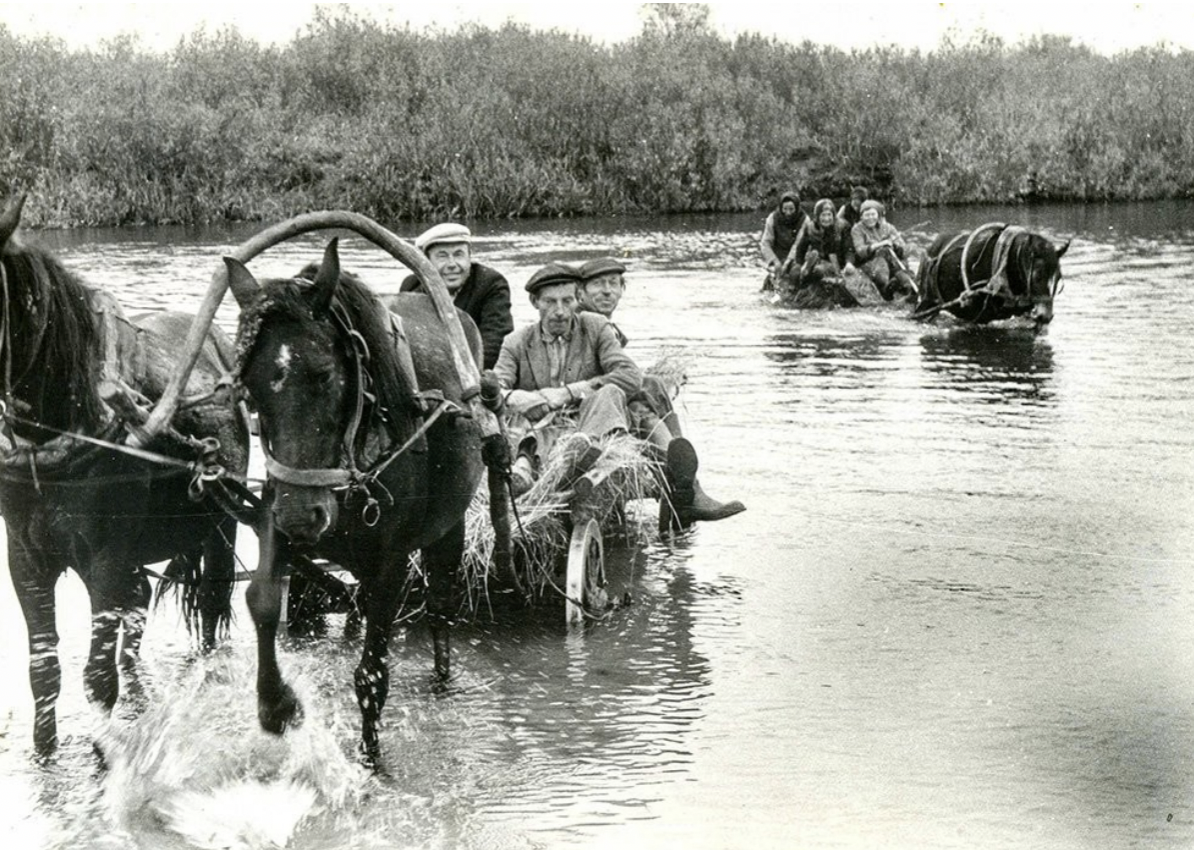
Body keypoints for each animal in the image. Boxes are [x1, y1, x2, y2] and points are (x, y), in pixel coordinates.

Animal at [0, 195, 249, 757]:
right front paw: (46, 753)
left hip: (220, 527)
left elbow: (96, 677)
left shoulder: (105, 558)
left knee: (211, 607)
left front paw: (105, 751)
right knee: (137, 608)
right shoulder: (24, 559)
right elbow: (44, 672)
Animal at [226, 238, 484, 766]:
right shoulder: (276, 516)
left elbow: (371, 672)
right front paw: (276, 704)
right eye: (250, 387)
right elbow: (261, 598)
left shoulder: (391, 562)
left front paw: (370, 757)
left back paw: (442, 680)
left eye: (324, 374)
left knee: (441, 607)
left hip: (450, 530)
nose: (303, 515)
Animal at [913, 223, 1070, 330]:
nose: (1046, 316)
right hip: (927, 300)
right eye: (1037, 276)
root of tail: (930, 249)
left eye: (1058, 280)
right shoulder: (978, 316)